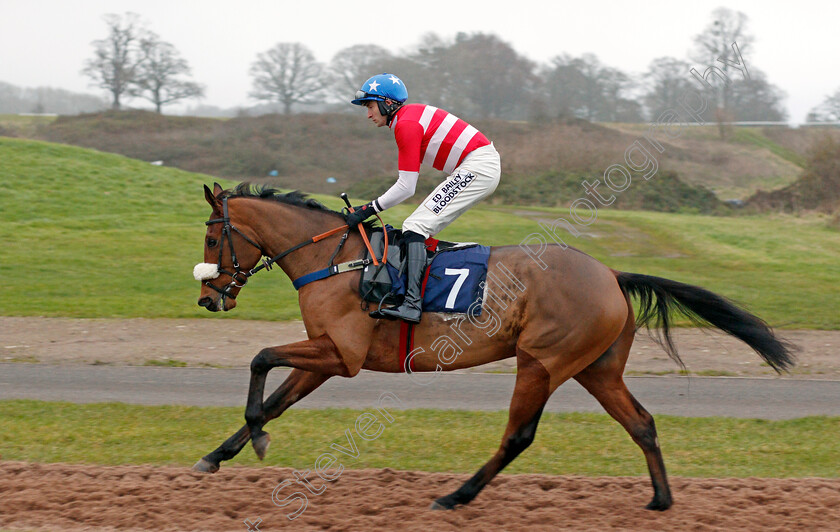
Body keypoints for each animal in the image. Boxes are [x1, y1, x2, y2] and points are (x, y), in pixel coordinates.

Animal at [190, 184, 796, 512]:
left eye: (213, 236)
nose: (207, 297)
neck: (337, 260)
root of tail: (612, 274)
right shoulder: (326, 353)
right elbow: (276, 399)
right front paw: (216, 455)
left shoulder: (342, 355)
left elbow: (261, 359)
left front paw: (253, 439)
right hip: (597, 369)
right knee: (641, 423)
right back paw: (662, 500)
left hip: (542, 362)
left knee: (519, 436)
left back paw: (456, 496)